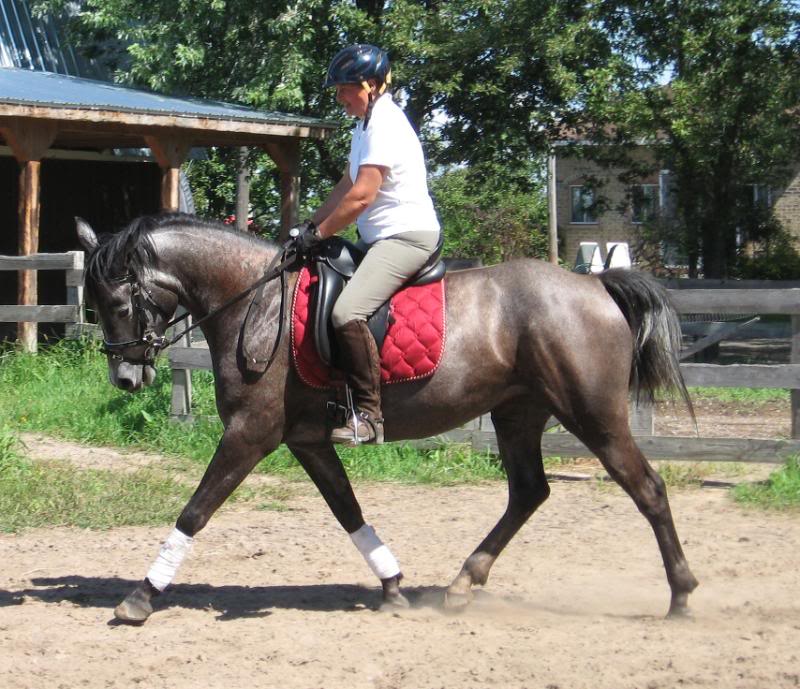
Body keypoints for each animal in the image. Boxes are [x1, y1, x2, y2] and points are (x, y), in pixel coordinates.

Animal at [78, 214, 696, 624]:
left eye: (119, 303)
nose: (125, 378)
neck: (257, 302)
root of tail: (594, 284)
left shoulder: (250, 434)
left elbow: (196, 509)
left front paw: (141, 596)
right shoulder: (307, 441)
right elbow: (348, 510)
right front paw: (394, 585)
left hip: (593, 415)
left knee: (647, 489)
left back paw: (682, 596)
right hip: (517, 412)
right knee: (528, 492)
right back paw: (461, 585)